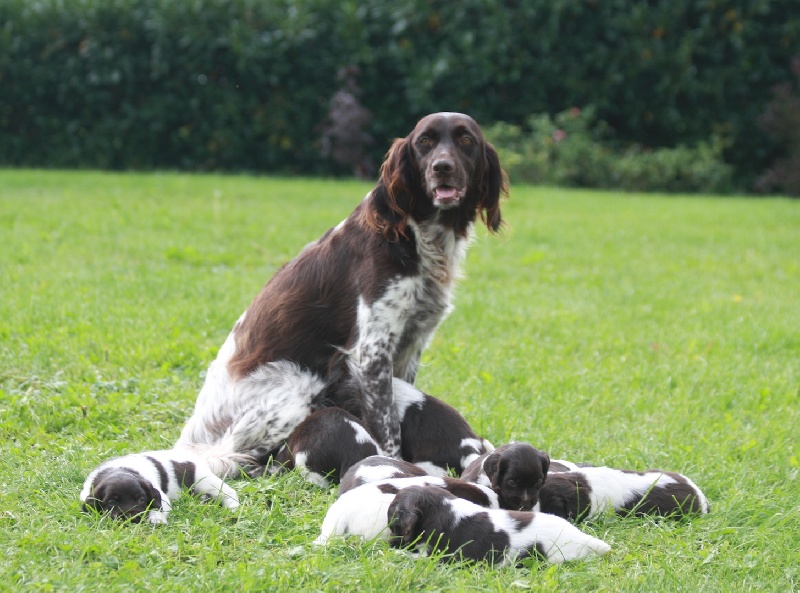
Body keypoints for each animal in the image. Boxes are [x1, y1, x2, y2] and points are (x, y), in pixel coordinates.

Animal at [79, 448, 239, 524]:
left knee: (229, 492)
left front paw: (156, 519)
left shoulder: (161, 497)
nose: (133, 518)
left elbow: (157, 507)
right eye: (112, 502)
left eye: (141, 499)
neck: (119, 469)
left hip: (205, 480)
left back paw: (233, 508)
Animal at [179, 112, 510, 476]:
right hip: (297, 385)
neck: (413, 235)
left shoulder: (411, 343)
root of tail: (191, 438)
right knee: (233, 456)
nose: (442, 167)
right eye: (425, 142)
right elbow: (387, 426)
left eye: (466, 140)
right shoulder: (371, 351)